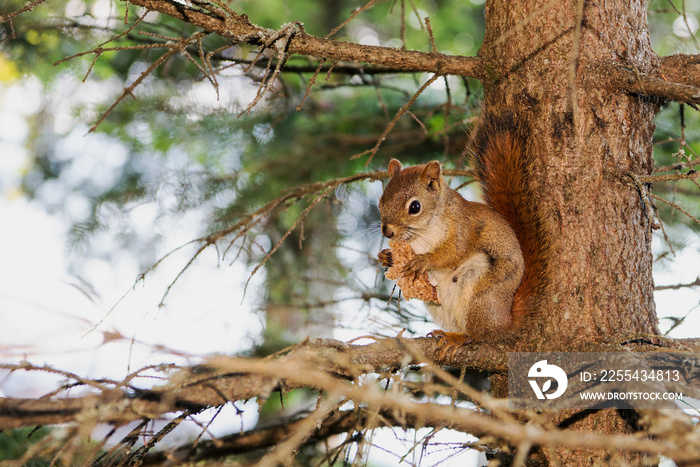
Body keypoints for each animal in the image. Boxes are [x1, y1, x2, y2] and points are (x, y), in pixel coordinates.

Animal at [380, 112, 548, 348]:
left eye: (415, 207)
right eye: (381, 200)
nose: (387, 232)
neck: (422, 235)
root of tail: (504, 321)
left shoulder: (463, 226)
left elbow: (454, 251)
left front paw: (425, 260)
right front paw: (385, 256)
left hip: (480, 291)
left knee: (478, 335)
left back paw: (459, 338)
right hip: (439, 305)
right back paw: (446, 333)